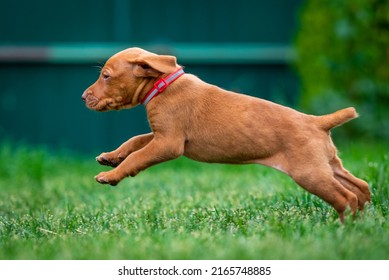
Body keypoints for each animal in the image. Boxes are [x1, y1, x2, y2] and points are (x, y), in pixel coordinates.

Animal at [82, 47, 370, 221]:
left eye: (106, 76)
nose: (83, 97)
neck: (162, 84)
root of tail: (317, 122)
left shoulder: (168, 143)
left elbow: (137, 157)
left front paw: (111, 175)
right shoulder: (161, 135)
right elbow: (134, 141)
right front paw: (111, 157)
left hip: (309, 173)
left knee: (346, 197)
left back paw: (346, 227)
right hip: (328, 165)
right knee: (361, 187)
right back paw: (366, 219)